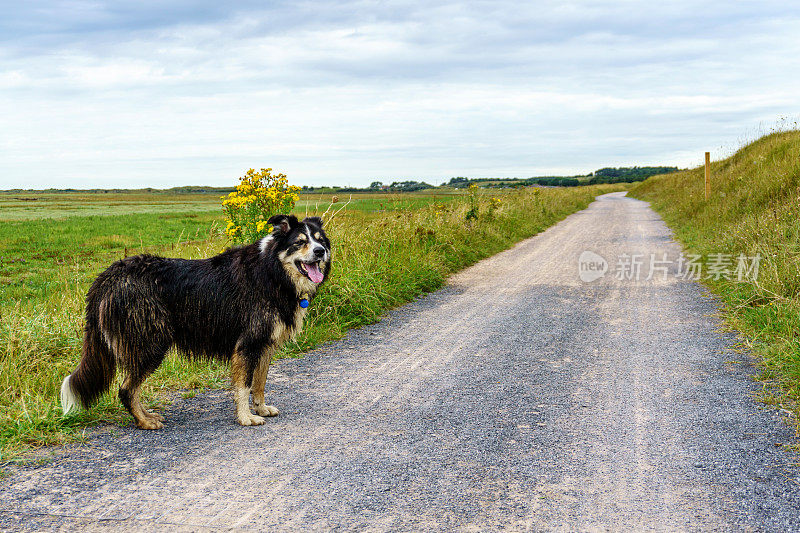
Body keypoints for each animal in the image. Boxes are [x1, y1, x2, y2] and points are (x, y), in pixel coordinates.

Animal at [58, 214, 328, 426]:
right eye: (300, 242)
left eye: (320, 240)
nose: (321, 251)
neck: (273, 272)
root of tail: (108, 276)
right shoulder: (247, 344)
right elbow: (244, 386)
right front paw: (246, 417)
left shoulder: (264, 344)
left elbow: (259, 382)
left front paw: (261, 408)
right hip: (150, 343)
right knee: (126, 389)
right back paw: (144, 421)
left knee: (130, 388)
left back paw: (147, 415)